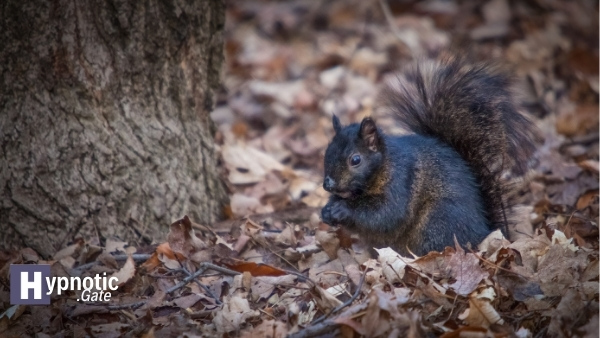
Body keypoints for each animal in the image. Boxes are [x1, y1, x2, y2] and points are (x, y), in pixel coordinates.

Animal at [324, 56, 540, 256]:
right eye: (327, 151)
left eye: (355, 160)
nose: (328, 184)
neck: (383, 166)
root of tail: (483, 233)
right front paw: (327, 210)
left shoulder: (402, 181)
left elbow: (387, 214)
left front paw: (343, 209)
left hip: (438, 221)